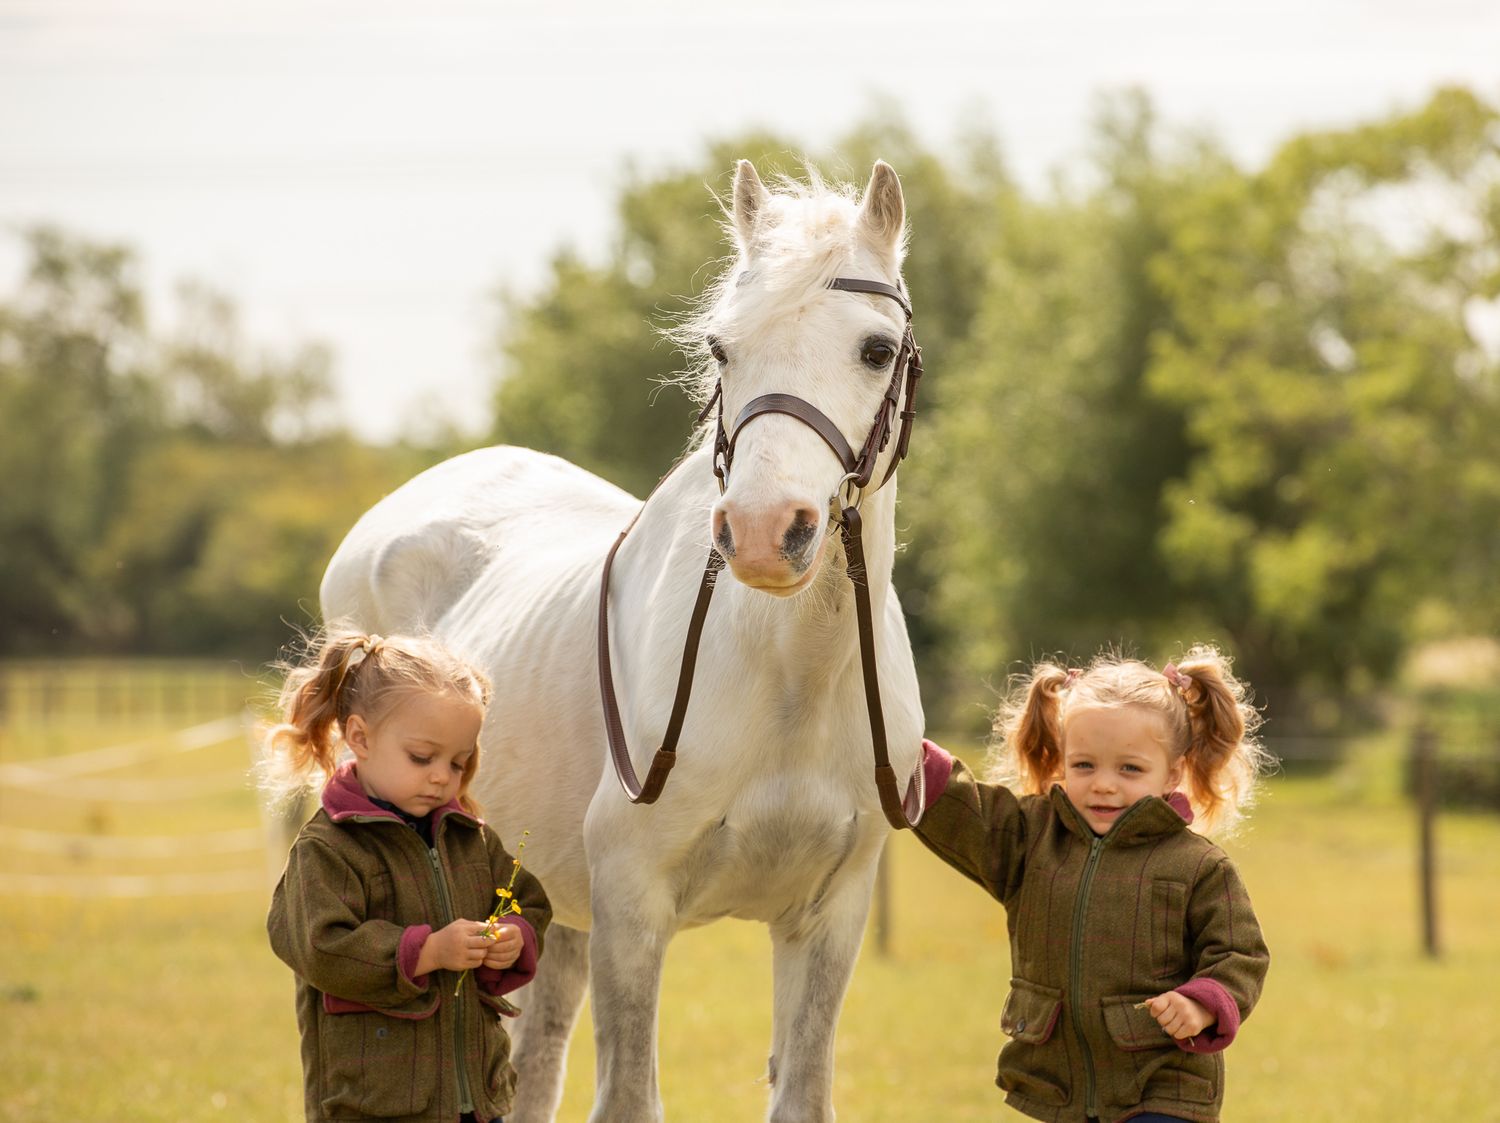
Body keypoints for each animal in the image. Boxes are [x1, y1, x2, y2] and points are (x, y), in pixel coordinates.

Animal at [319, 159, 925, 1123]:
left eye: (874, 349)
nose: (764, 533)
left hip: (548, 909)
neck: (788, 679)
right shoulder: (634, 911)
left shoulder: (828, 917)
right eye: (722, 349)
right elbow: (630, 1096)